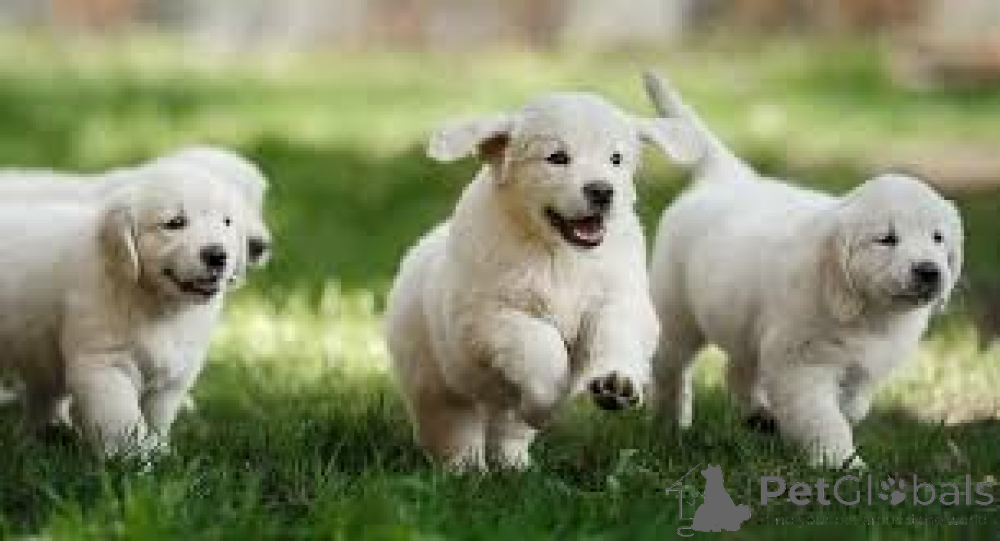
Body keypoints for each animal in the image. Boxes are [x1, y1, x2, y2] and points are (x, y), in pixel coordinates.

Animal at [0, 162, 251, 458]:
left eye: (227, 222)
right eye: (175, 223)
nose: (217, 255)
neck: (155, 303)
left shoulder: (174, 374)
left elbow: (156, 417)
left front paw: (160, 450)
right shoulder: (105, 364)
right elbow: (123, 420)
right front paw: (135, 461)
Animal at [386, 92, 700, 471]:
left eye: (616, 159)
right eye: (557, 158)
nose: (602, 191)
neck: (558, 254)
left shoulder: (620, 297)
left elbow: (615, 331)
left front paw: (617, 383)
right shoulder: (486, 317)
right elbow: (540, 343)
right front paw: (549, 403)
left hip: (496, 402)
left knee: (508, 428)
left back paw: (514, 464)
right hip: (435, 378)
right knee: (452, 427)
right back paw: (466, 469)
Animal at [643, 73, 963, 468]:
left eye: (938, 238)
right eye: (887, 239)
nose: (929, 271)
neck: (868, 312)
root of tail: (727, 177)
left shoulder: (868, 363)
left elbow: (854, 402)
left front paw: (841, 417)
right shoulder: (801, 362)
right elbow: (823, 418)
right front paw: (841, 463)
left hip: (744, 323)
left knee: (738, 369)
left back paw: (757, 415)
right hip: (677, 314)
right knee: (669, 368)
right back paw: (669, 422)